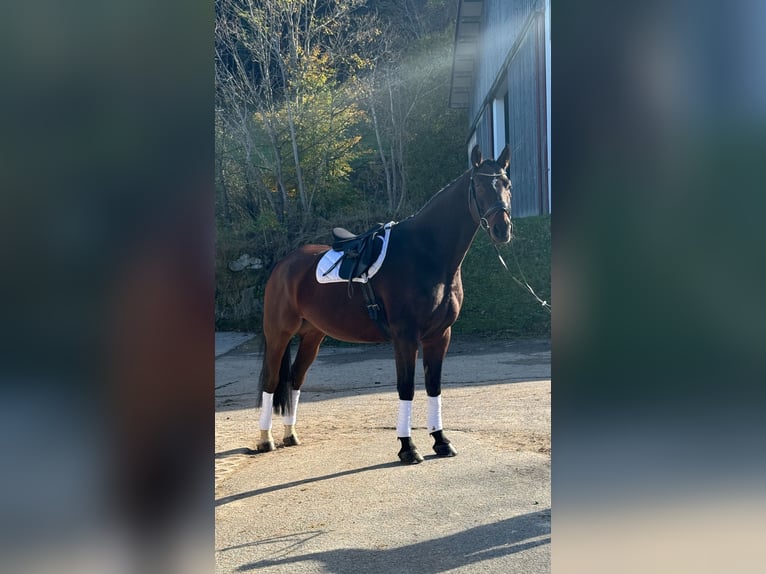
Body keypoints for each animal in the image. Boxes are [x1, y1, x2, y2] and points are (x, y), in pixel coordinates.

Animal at [255, 146, 512, 466]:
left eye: (507, 184)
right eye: (478, 186)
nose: (502, 229)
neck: (426, 253)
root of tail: (283, 265)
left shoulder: (440, 335)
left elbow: (434, 387)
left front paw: (441, 441)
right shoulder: (405, 337)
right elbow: (406, 388)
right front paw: (407, 447)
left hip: (313, 335)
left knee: (295, 378)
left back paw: (291, 435)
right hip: (279, 333)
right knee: (271, 380)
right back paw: (265, 440)